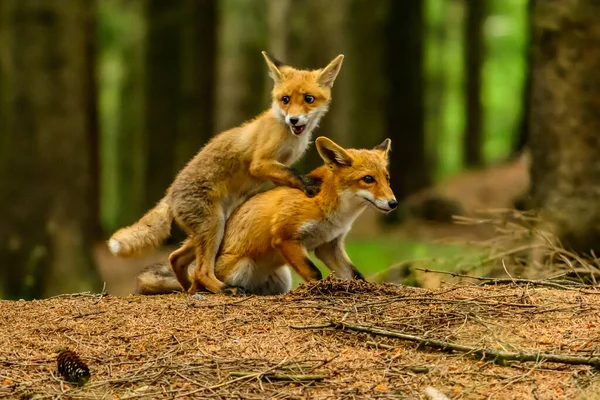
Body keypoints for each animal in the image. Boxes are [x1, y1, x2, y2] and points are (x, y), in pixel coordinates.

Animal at [107, 51, 342, 296]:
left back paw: (190, 288)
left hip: (214, 228)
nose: (293, 119)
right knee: (200, 269)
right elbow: (291, 173)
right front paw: (308, 184)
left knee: (176, 258)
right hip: (213, 227)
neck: (287, 131)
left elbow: (286, 175)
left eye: (308, 99)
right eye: (285, 99)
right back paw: (221, 288)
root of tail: (170, 194)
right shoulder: (260, 163)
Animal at [138, 136, 396, 296]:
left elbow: (355, 276)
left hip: (282, 277)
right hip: (239, 263)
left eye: (386, 178)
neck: (336, 212)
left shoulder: (329, 245)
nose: (393, 203)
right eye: (368, 179)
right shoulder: (286, 237)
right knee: (200, 277)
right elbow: (314, 273)